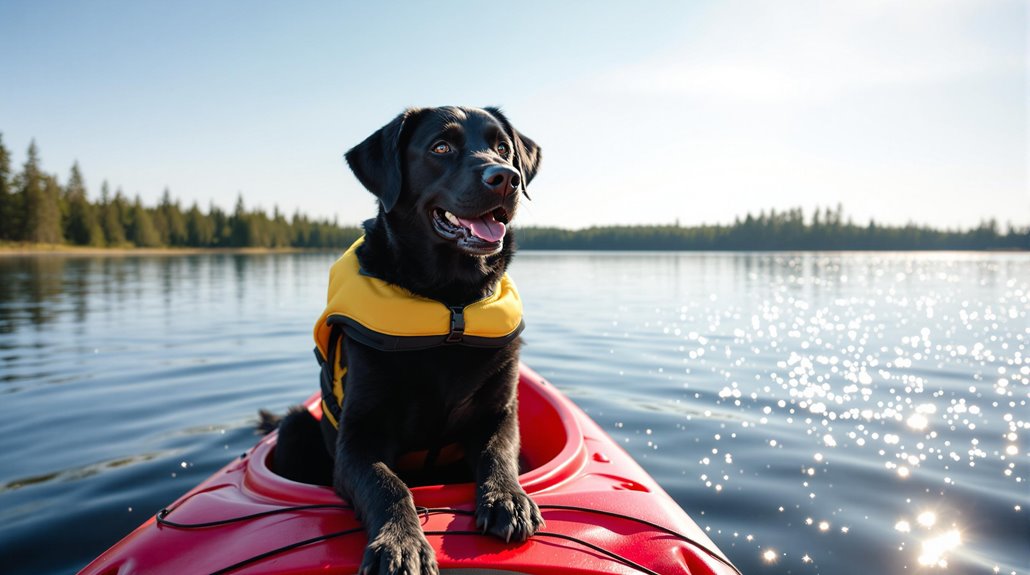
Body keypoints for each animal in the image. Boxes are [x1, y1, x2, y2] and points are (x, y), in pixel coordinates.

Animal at [271, 107, 547, 575]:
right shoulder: (358, 437)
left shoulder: (500, 411)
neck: (449, 302)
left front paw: (508, 499)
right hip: (293, 428)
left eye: (503, 147)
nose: (506, 178)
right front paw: (401, 543)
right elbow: (388, 483)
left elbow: (499, 453)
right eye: (441, 147)